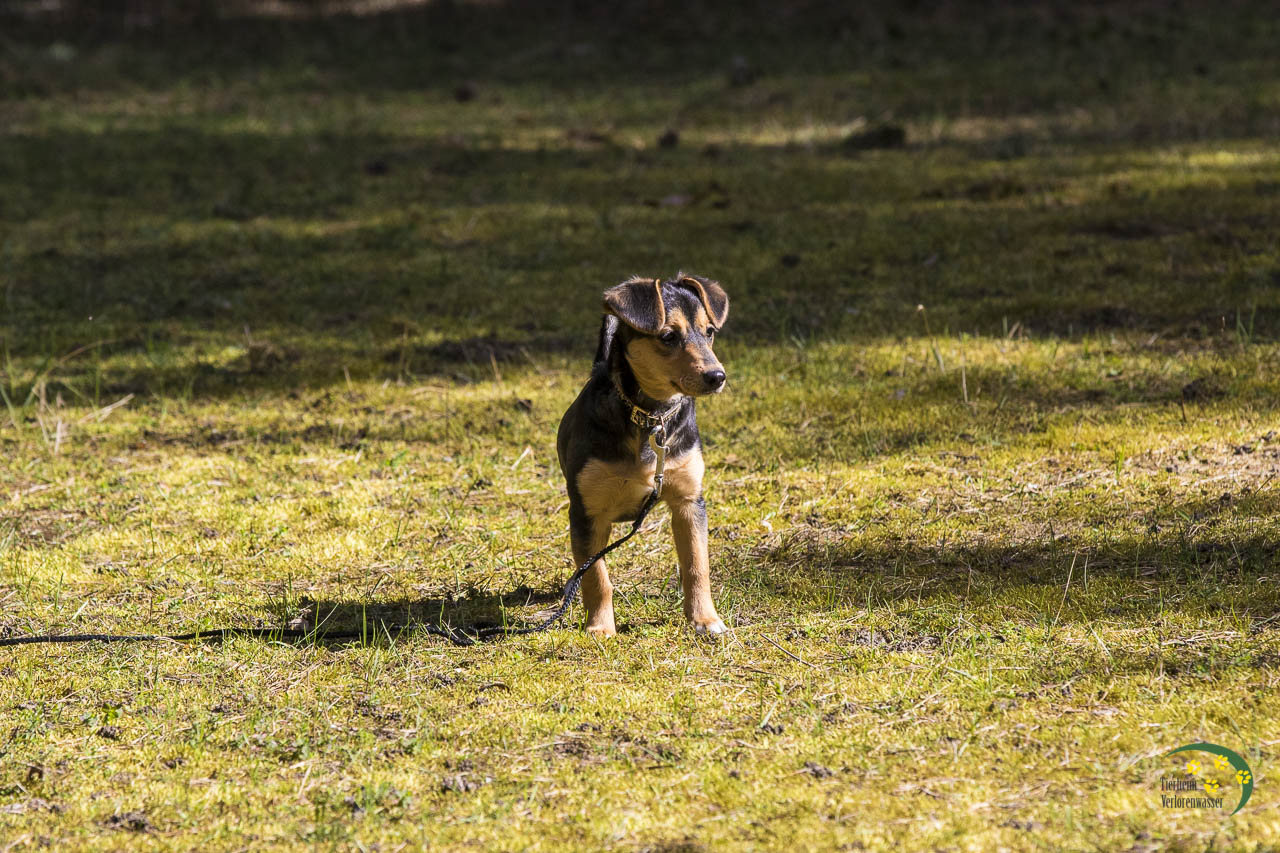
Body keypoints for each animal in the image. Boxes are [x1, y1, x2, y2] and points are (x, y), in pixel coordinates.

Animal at [556, 273, 730, 637]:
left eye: (709, 332)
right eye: (668, 336)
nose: (717, 377)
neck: (651, 416)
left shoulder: (689, 501)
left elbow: (697, 565)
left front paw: (704, 619)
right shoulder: (586, 512)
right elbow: (597, 576)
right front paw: (600, 628)